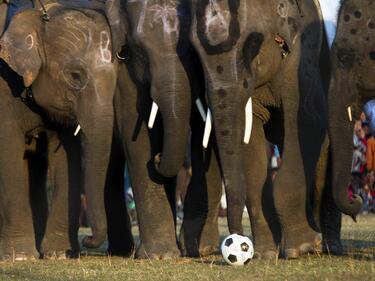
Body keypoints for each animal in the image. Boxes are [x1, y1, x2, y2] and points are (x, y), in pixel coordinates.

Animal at [0, 0, 126, 258]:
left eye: (115, 80)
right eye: (75, 76)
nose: (88, 239)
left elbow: (67, 158)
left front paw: (60, 254)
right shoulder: (3, 89)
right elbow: (7, 151)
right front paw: (20, 256)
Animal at [184, 0, 334, 258]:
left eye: (253, 43)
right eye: (195, 52)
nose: (235, 239)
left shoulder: (302, 60)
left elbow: (307, 123)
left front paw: (301, 248)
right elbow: (250, 147)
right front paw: (266, 254)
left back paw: (324, 245)